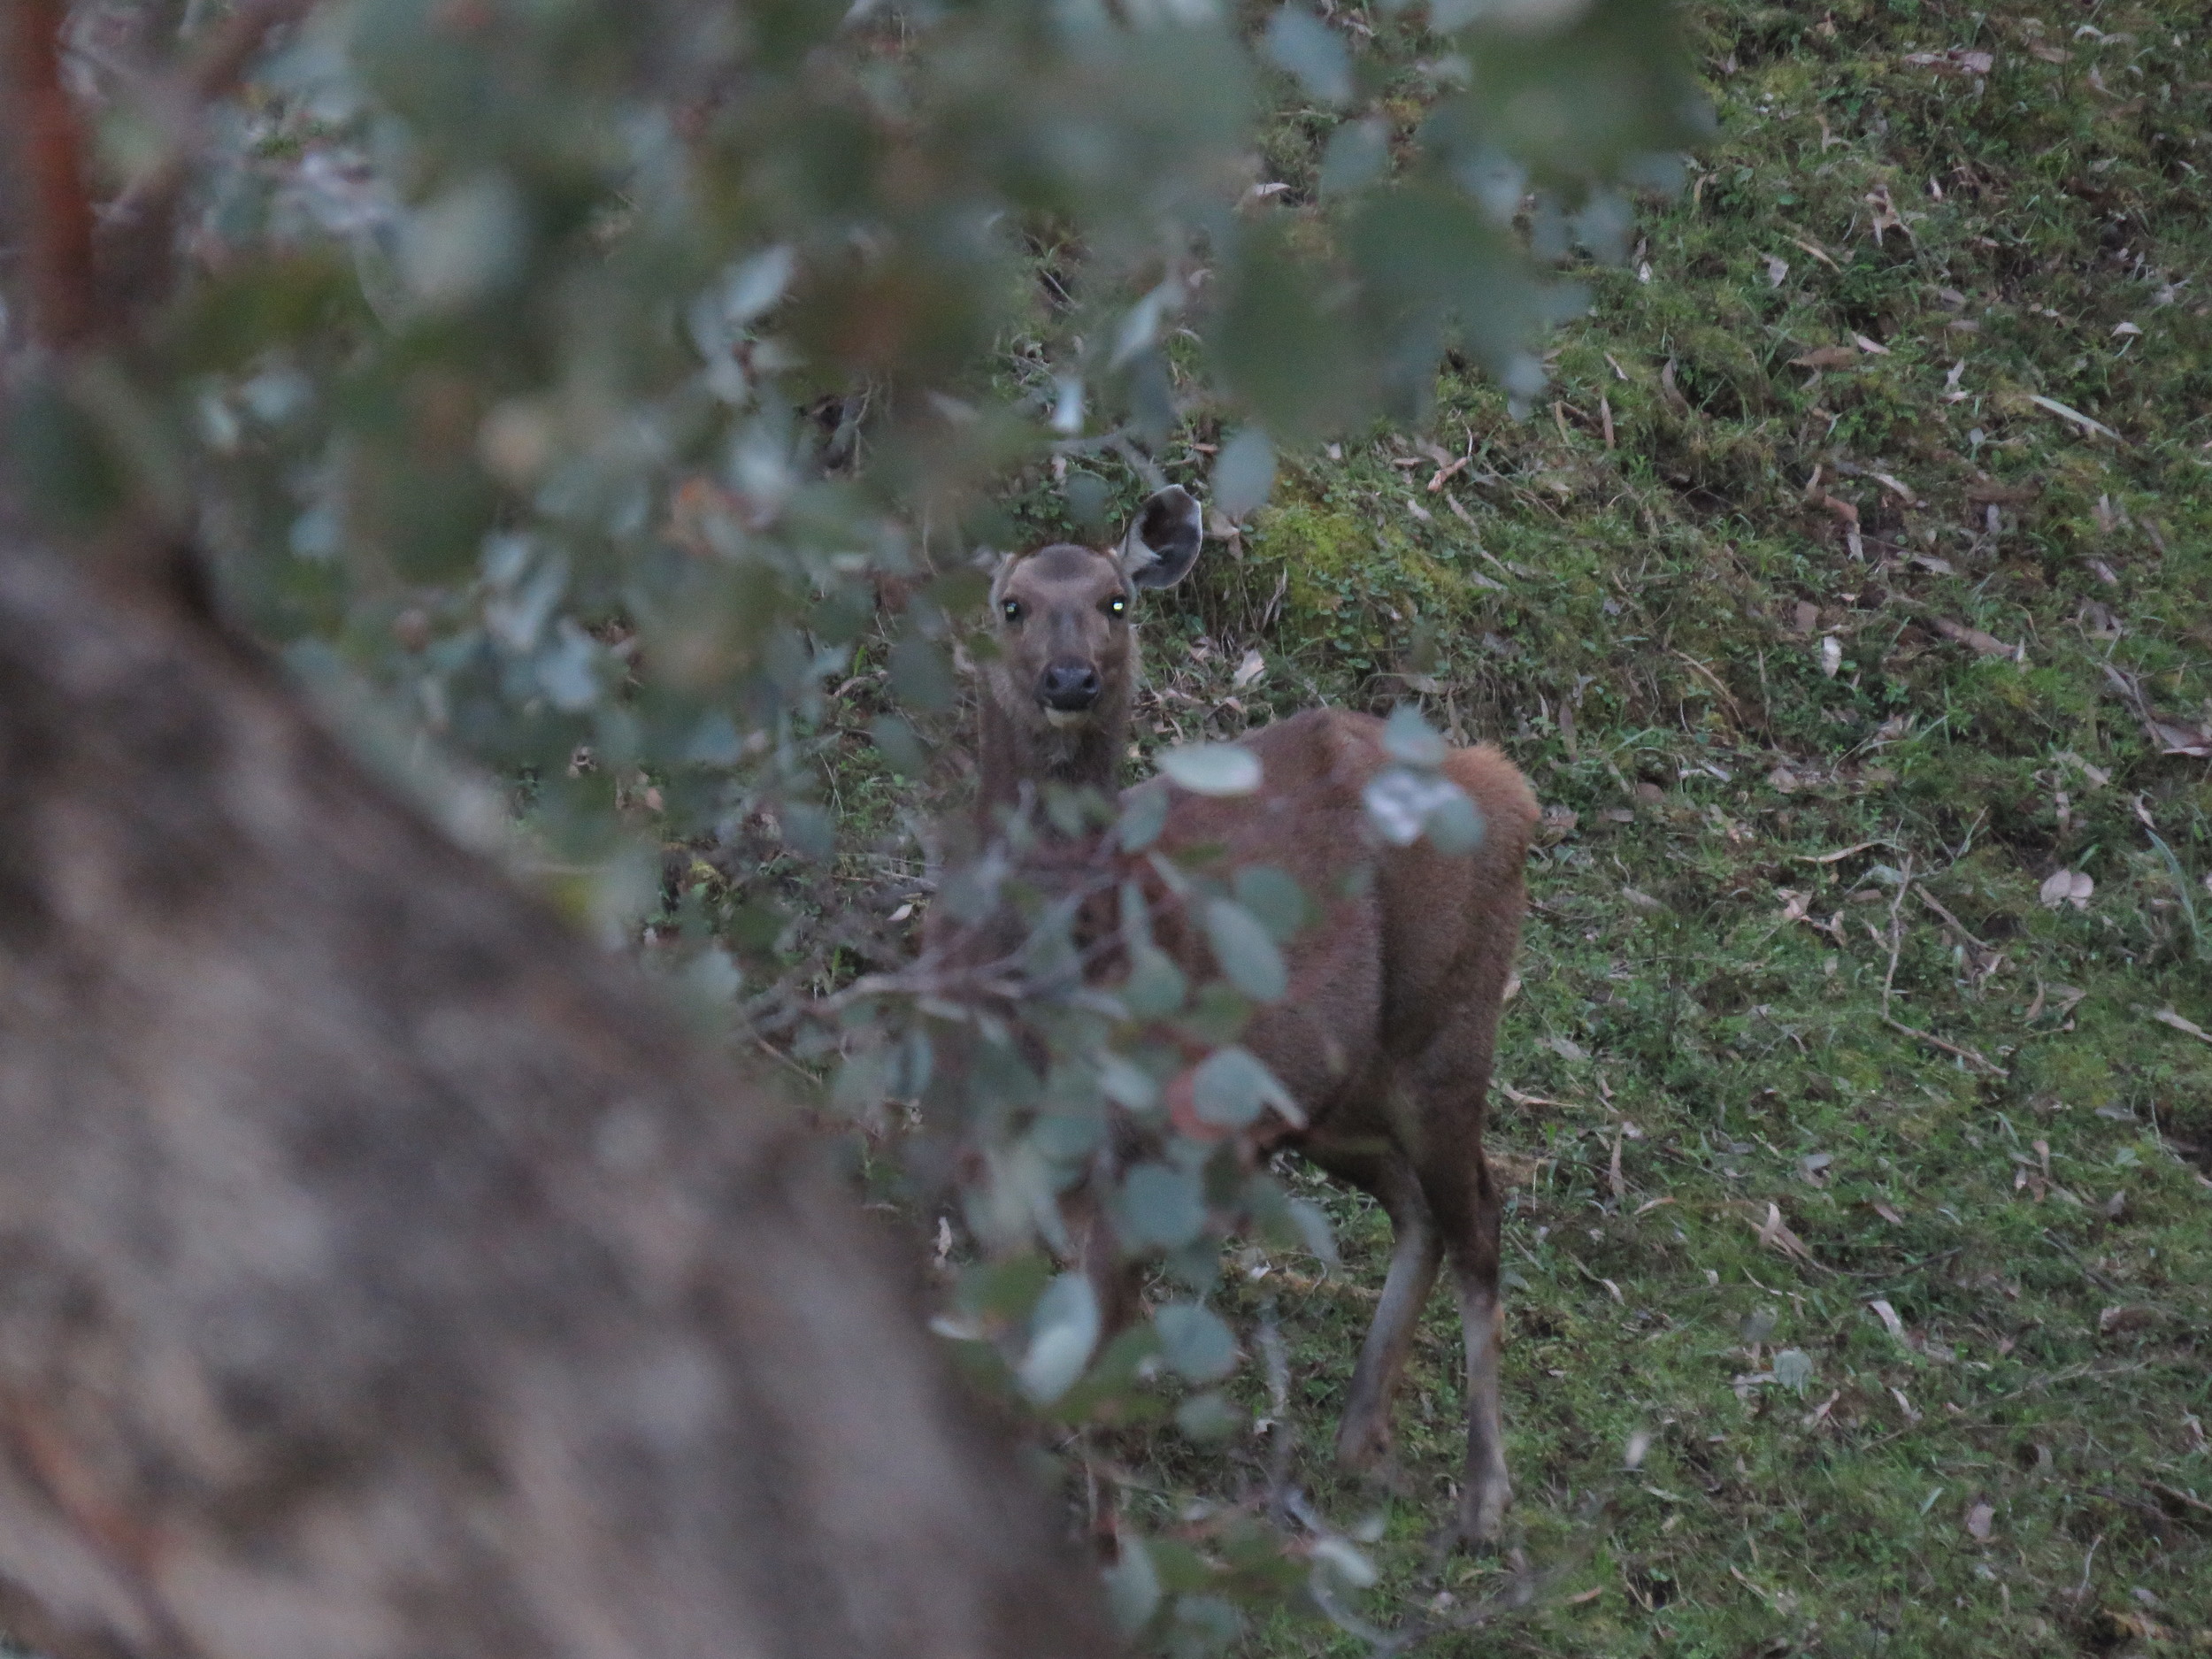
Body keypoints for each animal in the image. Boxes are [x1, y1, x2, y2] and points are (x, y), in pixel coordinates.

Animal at [956, 487, 1540, 1557]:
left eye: (1114, 601)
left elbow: (1096, 1365)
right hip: (1332, 1097)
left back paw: (1482, 1498)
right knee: (1418, 1208)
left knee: (1478, 1209)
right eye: (1011, 604)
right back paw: (1360, 1443)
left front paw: (1107, 1548)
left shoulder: (1139, 1157)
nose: (1070, 679)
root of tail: (1511, 786)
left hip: (1448, 1033)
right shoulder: (986, 1142)